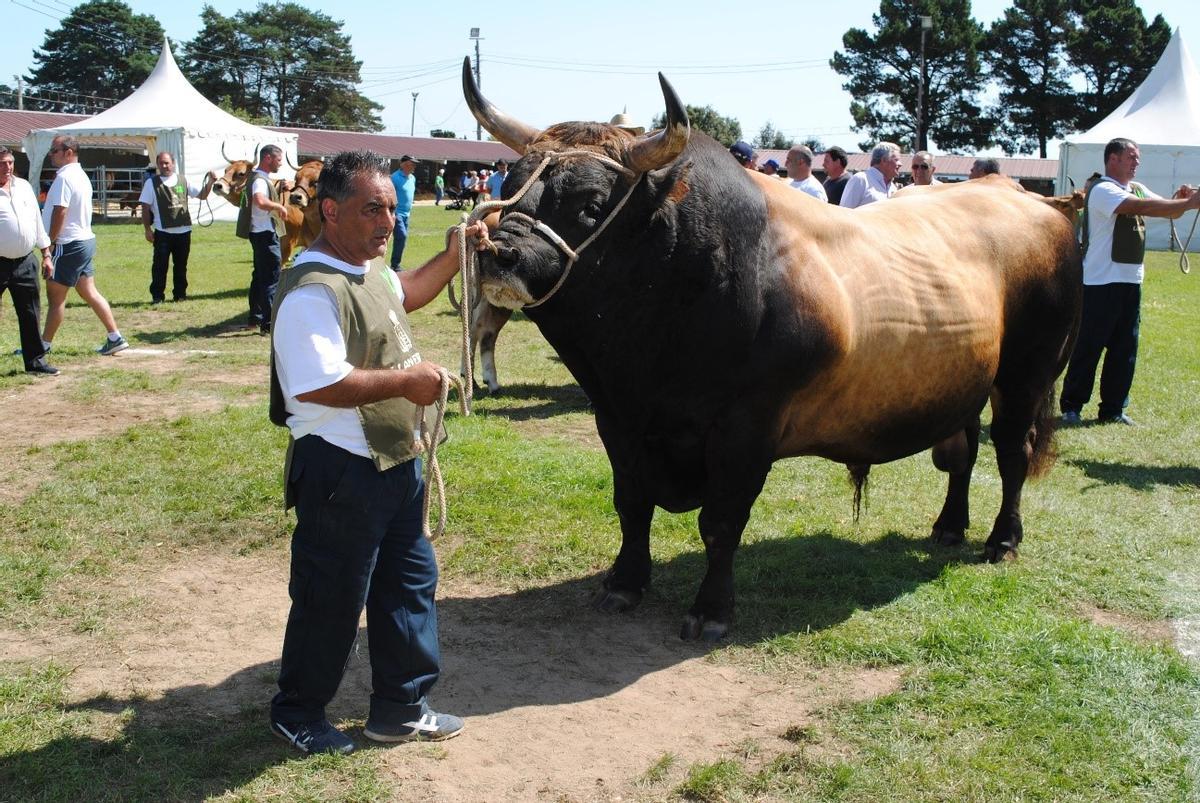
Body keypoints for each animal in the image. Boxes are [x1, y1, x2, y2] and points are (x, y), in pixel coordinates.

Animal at [462, 59, 1082, 641]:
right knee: (963, 452)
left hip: (1026, 376)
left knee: (1013, 454)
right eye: (510, 183)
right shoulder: (617, 417)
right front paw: (624, 582)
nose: (498, 252)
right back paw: (950, 525)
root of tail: (1034, 202)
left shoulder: (746, 428)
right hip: (962, 381)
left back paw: (1002, 539)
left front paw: (712, 610)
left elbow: (721, 522)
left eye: (591, 204)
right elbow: (632, 504)